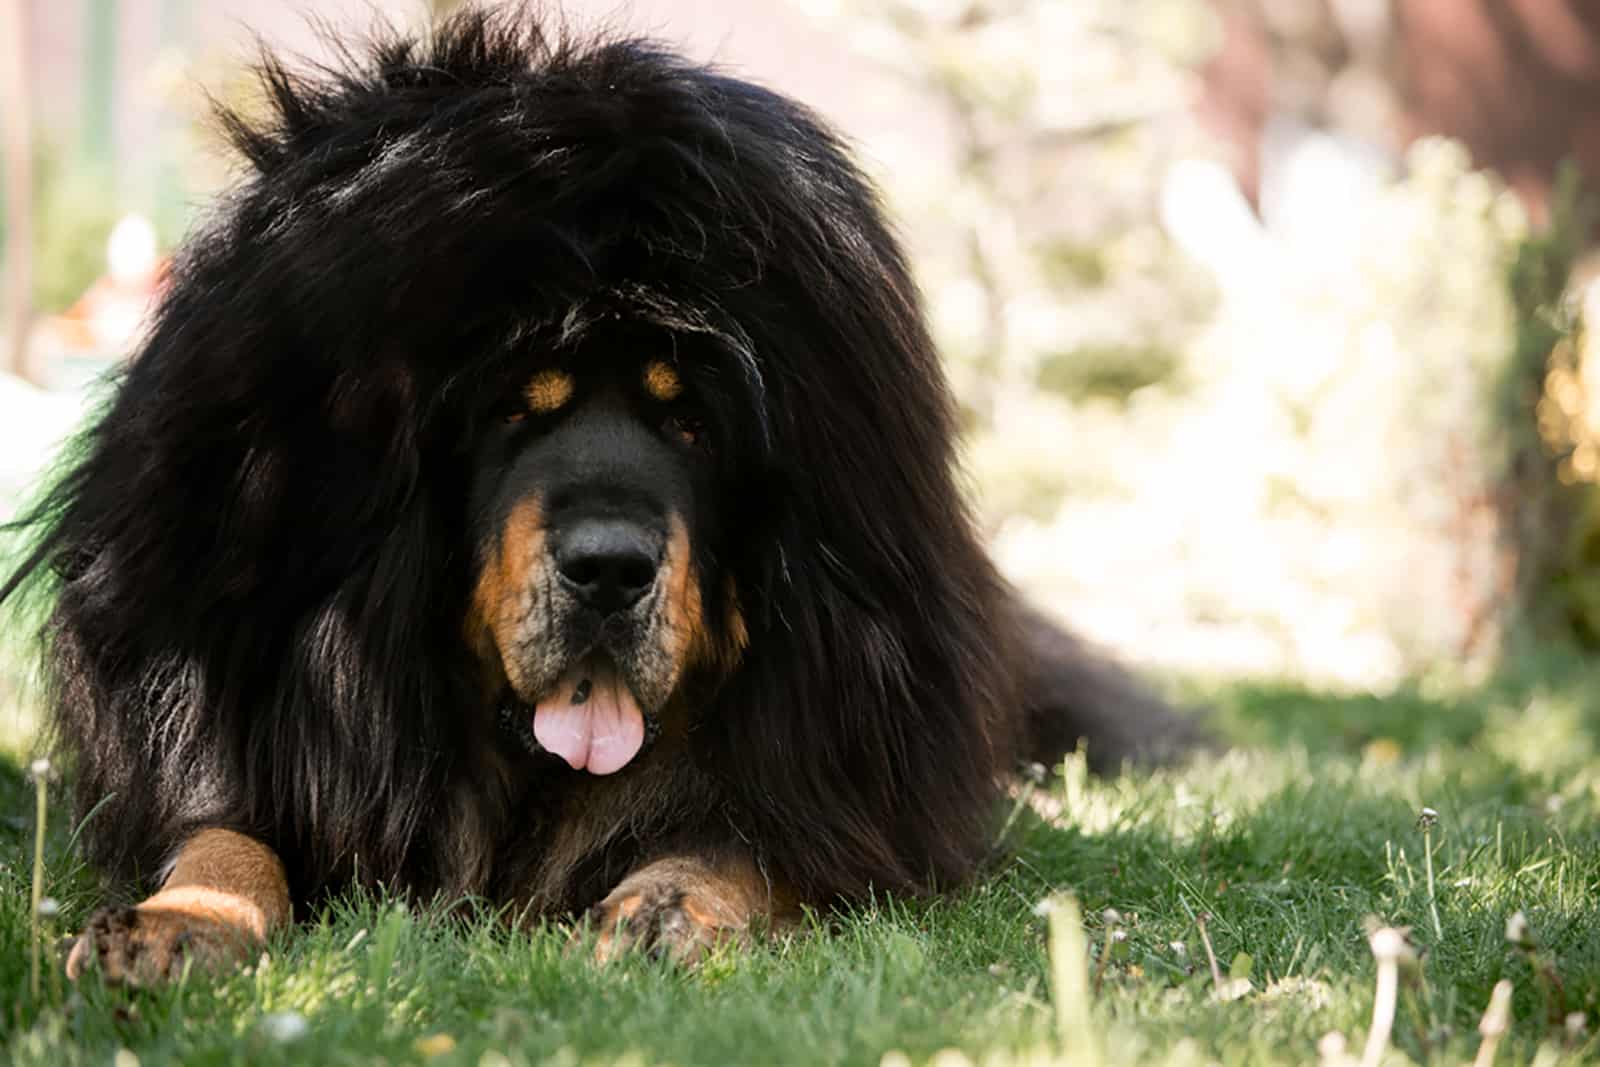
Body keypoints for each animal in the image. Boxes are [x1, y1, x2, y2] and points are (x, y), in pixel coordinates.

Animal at [0, 6, 1196, 985]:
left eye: (692, 421)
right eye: (510, 410)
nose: (612, 567)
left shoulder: (840, 745)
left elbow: (745, 835)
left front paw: (668, 904)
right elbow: (226, 834)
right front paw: (177, 921)